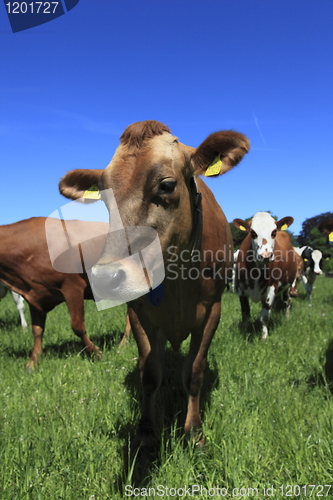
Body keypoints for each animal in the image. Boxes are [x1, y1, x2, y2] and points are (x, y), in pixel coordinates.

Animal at [0, 217, 131, 370]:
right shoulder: (34, 296)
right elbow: (37, 331)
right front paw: (33, 362)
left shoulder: (72, 286)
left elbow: (77, 326)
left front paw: (95, 353)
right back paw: (124, 343)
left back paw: (123, 344)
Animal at [231, 211, 296, 340]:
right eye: (252, 232)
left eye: (274, 231)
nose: (265, 256)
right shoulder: (241, 288)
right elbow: (245, 312)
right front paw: (244, 330)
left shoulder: (272, 287)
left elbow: (265, 315)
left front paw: (264, 337)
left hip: (288, 285)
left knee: (287, 302)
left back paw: (286, 318)